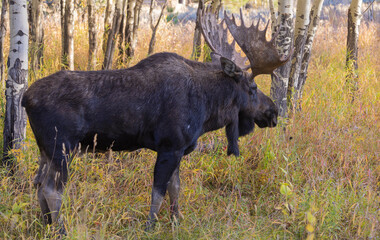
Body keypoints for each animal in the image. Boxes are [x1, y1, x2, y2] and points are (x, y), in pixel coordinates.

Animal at [21, 6, 290, 232]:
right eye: (253, 88)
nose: (273, 112)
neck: (208, 110)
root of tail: (25, 98)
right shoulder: (170, 146)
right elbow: (158, 192)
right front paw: (150, 226)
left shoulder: (179, 149)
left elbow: (175, 188)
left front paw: (176, 220)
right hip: (62, 147)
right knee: (51, 189)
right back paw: (60, 230)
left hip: (46, 150)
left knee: (38, 184)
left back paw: (46, 225)